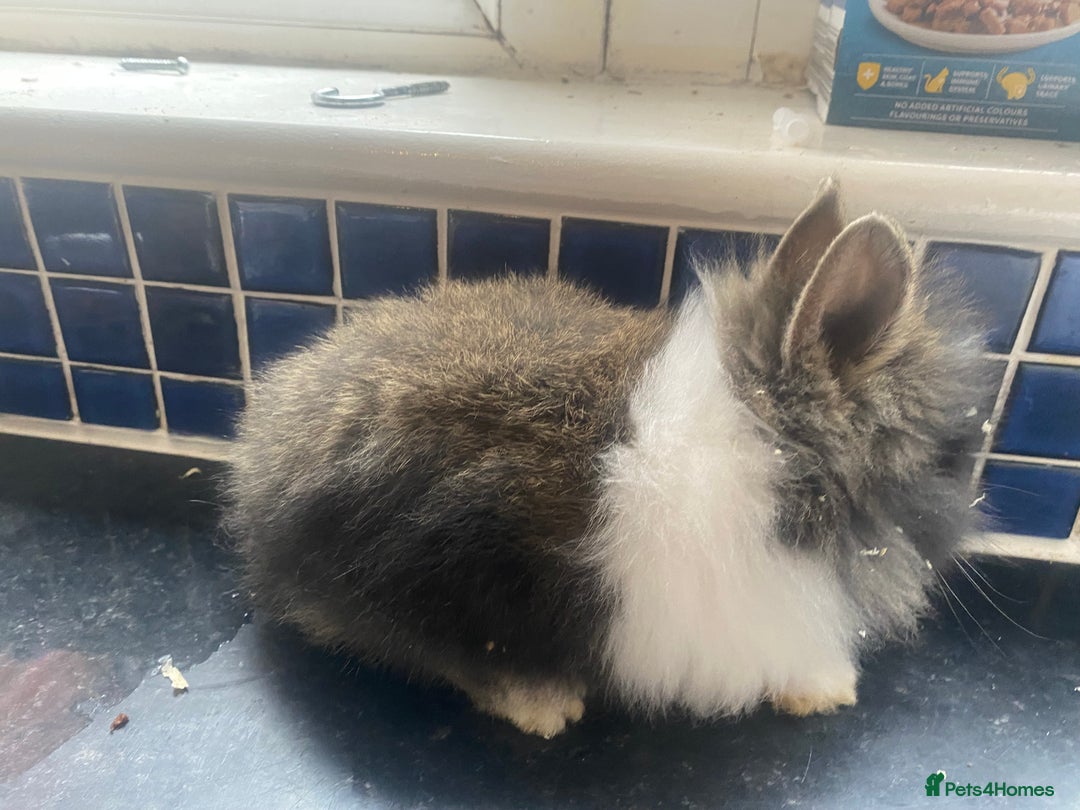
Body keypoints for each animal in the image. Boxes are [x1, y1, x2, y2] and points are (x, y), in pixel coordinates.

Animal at [224, 179, 993, 738]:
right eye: (945, 456)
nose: (967, 521)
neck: (772, 453)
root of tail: (256, 476)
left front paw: (828, 689)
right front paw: (829, 688)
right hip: (442, 565)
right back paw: (545, 705)